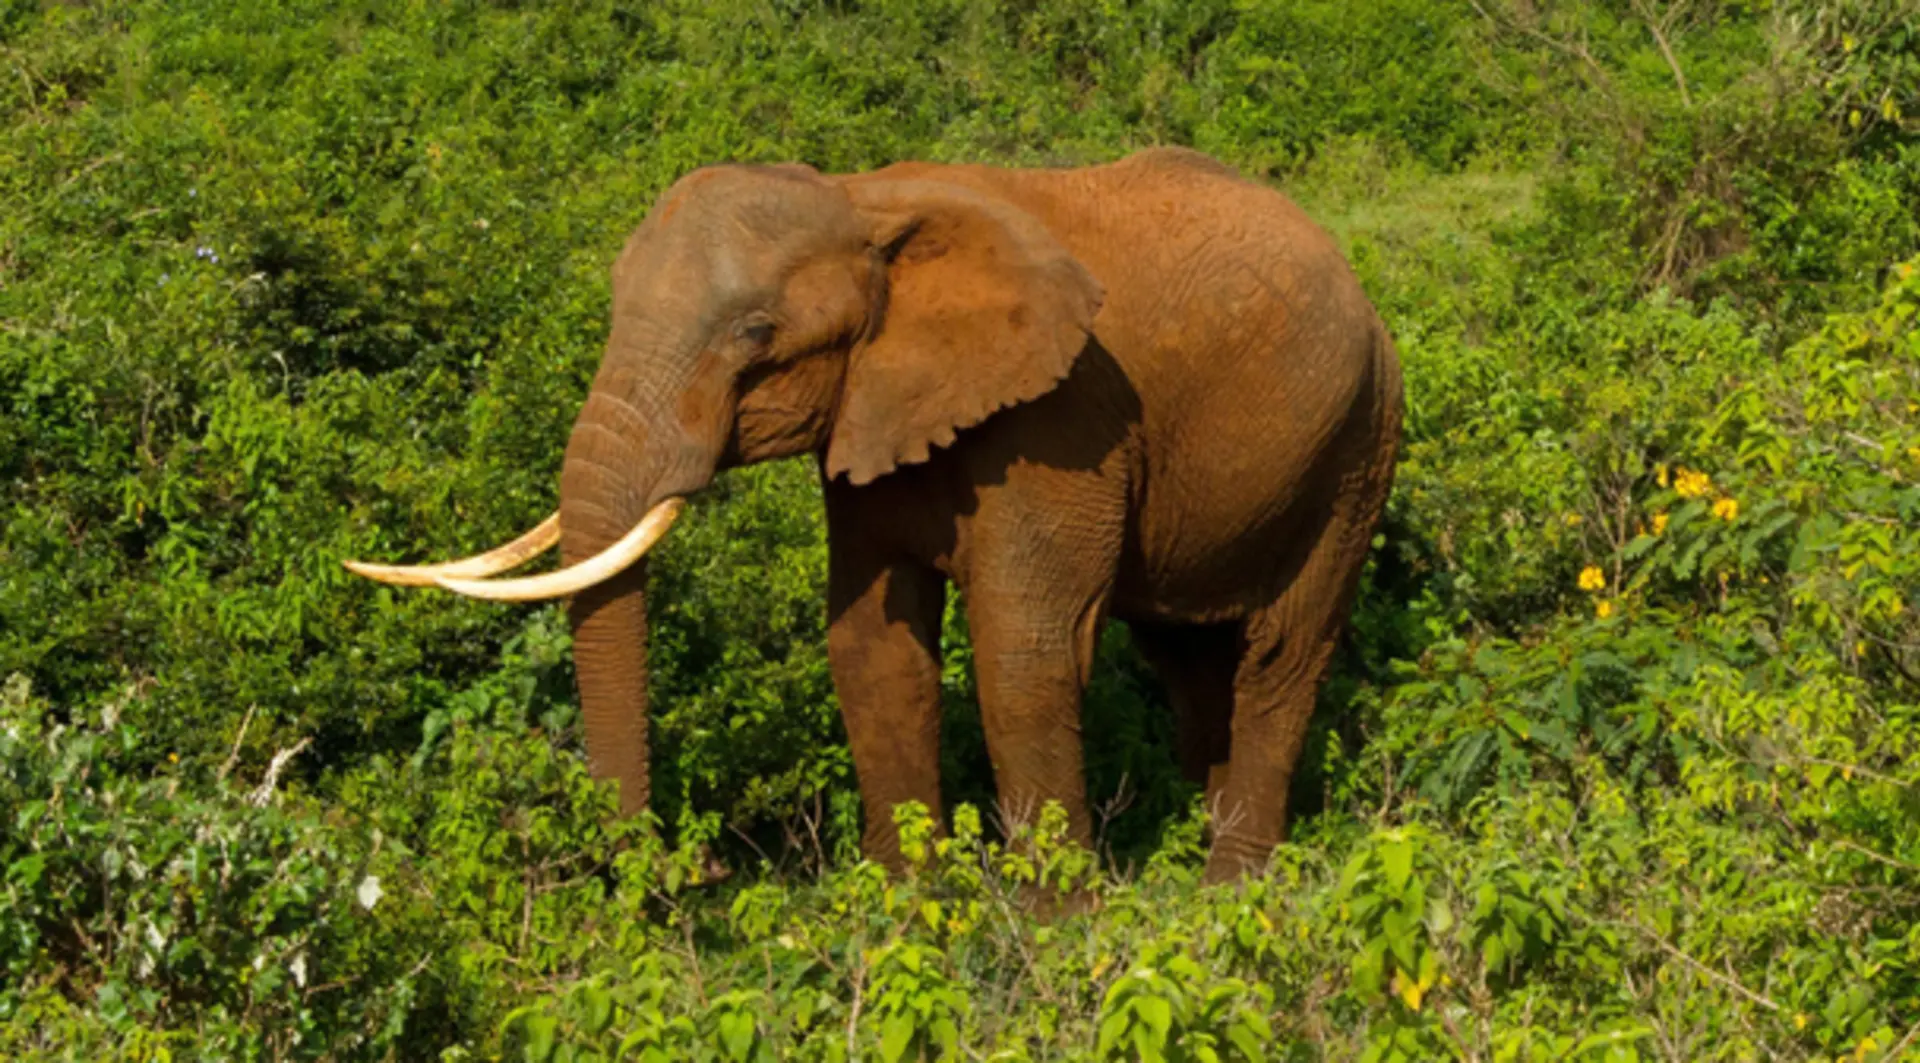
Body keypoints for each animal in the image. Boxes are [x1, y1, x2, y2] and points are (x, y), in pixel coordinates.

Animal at [346, 146, 1403, 883]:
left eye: (755, 335)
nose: (691, 872)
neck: (863, 200)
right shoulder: (868, 419)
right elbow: (871, 651)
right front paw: (905, 916)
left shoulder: (1064, 418)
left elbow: (1025, 654)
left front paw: (1055, 933)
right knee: (1189, 659)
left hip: (1360, 447)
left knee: (1280, 658)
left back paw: (1231, 898)